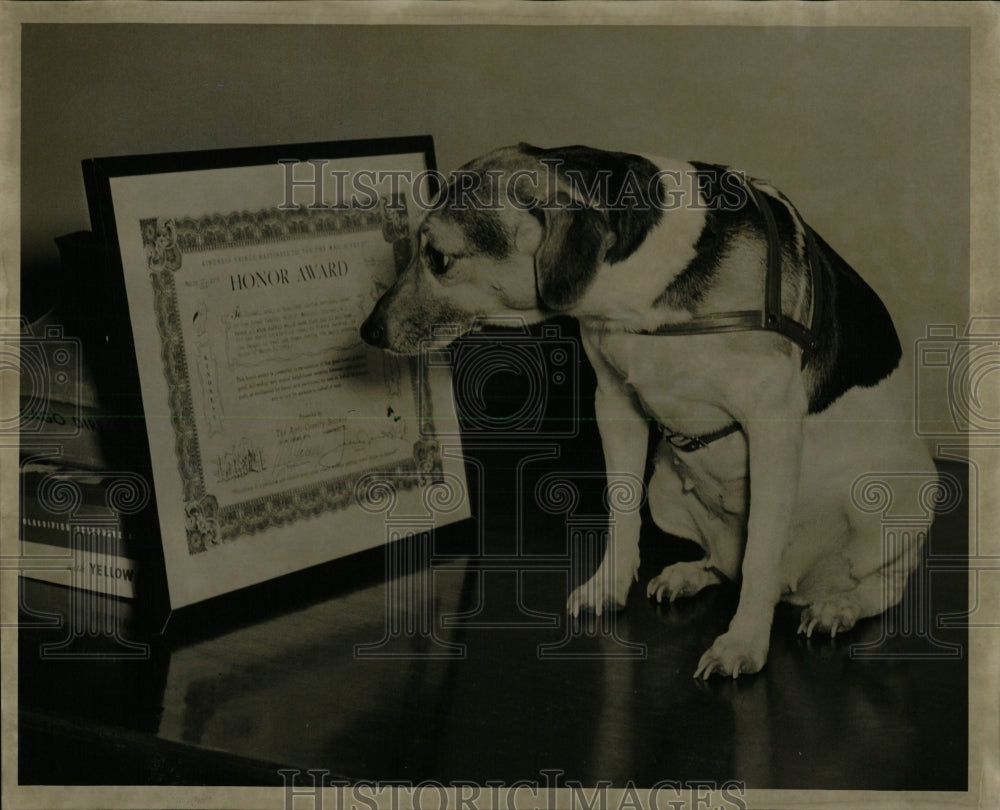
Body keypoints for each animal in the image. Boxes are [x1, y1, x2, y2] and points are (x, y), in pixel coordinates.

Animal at [362, 144, 936, 676]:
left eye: (438, 258)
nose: (368, 332)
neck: (643, 285)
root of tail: (801, 583)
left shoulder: (772, 422)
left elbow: (761, 552)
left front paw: (744, 644)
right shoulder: (615, 403)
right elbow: (621, 511)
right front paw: (609, 585)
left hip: (895, 503)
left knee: (878, 588)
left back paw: (837, 606)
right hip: (665, 485)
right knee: (726, 563)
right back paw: (691, 573)